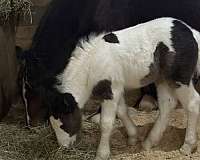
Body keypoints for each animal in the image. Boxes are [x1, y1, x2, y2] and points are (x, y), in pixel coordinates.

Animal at [50, 17, 200, 160]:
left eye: (63, 123)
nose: (63, 147)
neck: (92, 65)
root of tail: (192, 32)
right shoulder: (117, 88)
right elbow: (122, 111)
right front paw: (133, 137)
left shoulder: (110, 91)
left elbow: (106, 123)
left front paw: (102, 154)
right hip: (162, 79)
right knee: (167, 105)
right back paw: (149, 142)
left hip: (180, 79)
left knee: (193, 104)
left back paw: (187, 146)